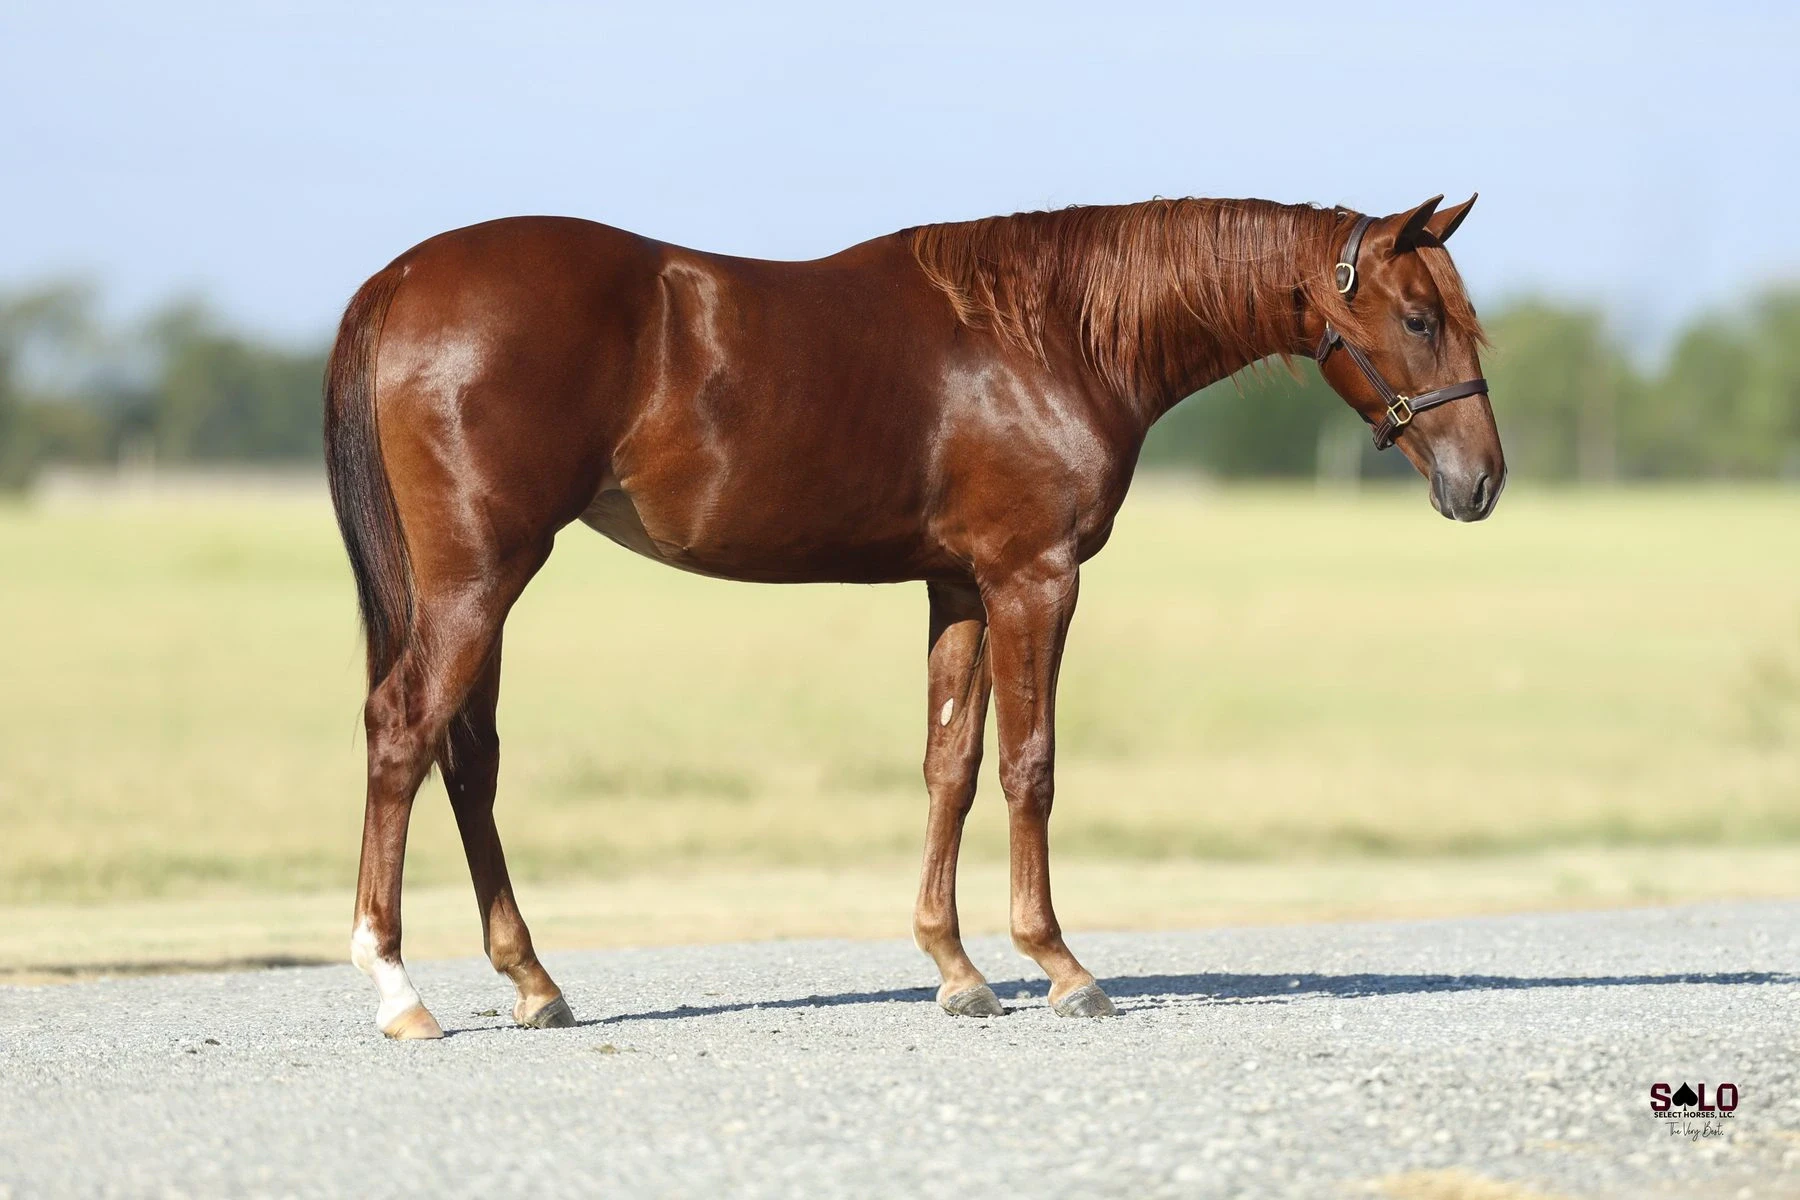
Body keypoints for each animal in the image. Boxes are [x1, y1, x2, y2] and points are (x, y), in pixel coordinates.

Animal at [324, 193, 1504, 1038]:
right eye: (1419, 317)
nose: (1482, 482)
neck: (1050, 336)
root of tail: (401, 277)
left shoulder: (960, 587)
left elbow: (953, 764)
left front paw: (955, 966)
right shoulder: (1036, 577)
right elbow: (1031, 764)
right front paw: (1060, 966)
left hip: (479, 583)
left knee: (467, 757)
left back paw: (533, 979)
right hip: (482, 576)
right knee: (402, 730)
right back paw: (399, 990)